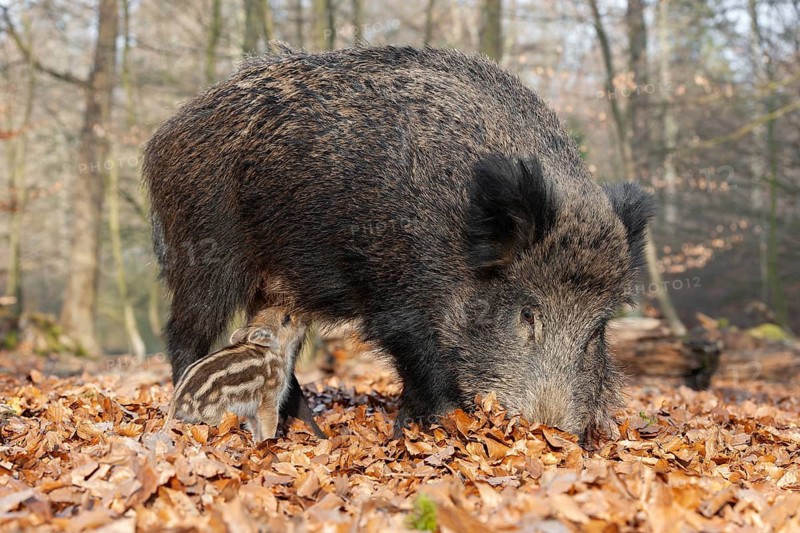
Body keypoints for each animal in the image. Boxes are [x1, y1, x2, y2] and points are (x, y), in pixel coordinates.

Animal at [143, 45, 654, 445]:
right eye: (527, 313)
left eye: (597, 329)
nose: (552, 433)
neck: (457, 241)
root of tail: (162, 135)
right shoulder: (397, 299)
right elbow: (421, 367)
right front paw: (432, 429)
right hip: (204, 254)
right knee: (184, 332)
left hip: (278, 286)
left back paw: (310, 430)